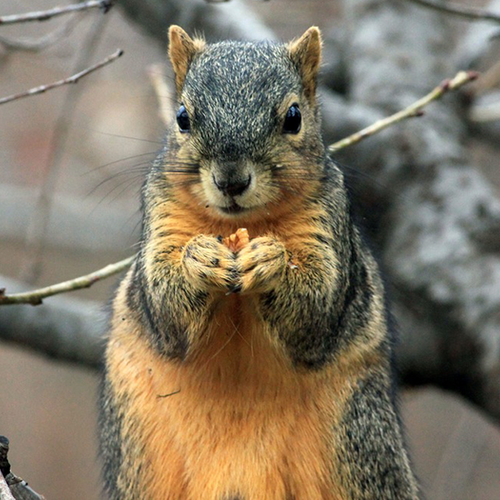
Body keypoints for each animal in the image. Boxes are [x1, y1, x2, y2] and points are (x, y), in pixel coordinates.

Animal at [98, 24, 418, 500]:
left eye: (293, 117)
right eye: (182, 117)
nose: (231, 180)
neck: (239, 224)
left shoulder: (327, 223)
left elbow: (316, 311)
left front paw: (272, 262)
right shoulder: (161, 215)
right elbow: (165, 309)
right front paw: (199, 260)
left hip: (359, 441)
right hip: (137, 454)